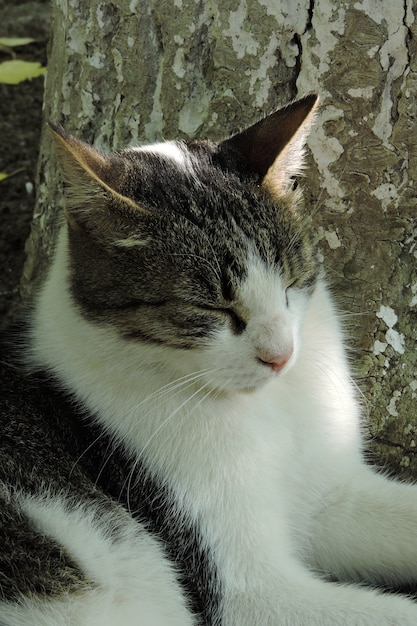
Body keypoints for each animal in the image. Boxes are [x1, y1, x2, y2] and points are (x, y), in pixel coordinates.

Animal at [1, 94, 416, 624]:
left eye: (291, 280)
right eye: (212, 308)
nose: (281, 356)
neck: (267, 410)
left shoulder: (332, 498)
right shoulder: (247, 593)